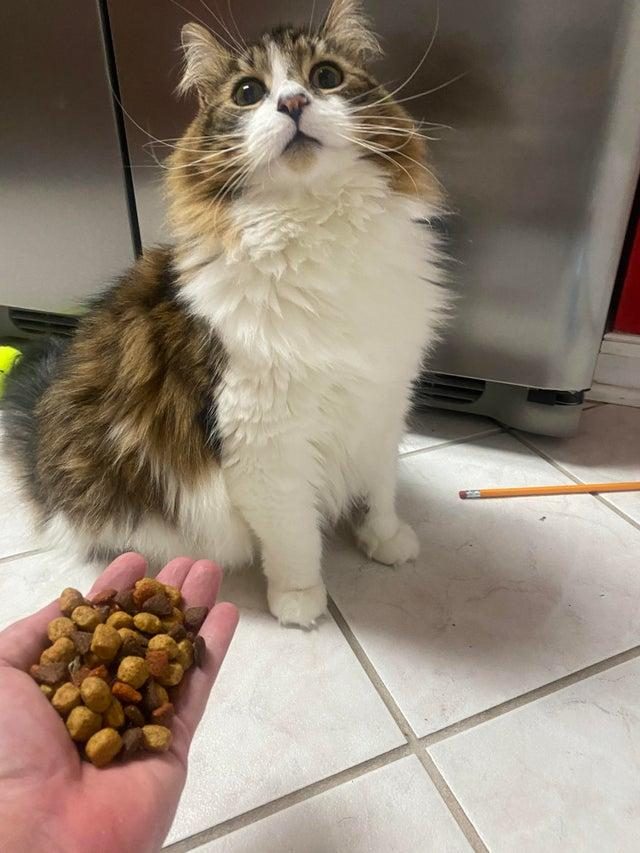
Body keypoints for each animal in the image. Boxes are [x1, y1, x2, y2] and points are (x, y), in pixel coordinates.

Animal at [3, 0, 447, 627]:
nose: (293, 103)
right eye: (248, 92)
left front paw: (385, 541)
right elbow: (294, 536)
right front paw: (299, 600)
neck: (320, 234)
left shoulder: (385, 397)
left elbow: (380, 488)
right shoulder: (263, 439)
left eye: (326, 77)